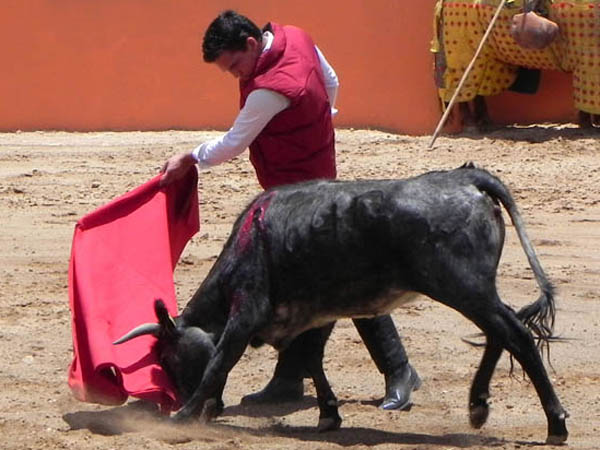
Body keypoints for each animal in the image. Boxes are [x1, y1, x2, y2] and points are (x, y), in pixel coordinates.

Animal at [115, 164, 568, 442]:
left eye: (170, 359)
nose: (179, 402)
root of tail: (468, 178)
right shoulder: (315, 316)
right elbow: (311, 360)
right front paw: (328, 414)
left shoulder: (247, 313)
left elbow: (219, 361)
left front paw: (183, 416)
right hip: (474, 291)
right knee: (499, 333)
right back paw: (478, 407)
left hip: (464, 287)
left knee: (516, 335)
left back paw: (555, 422)